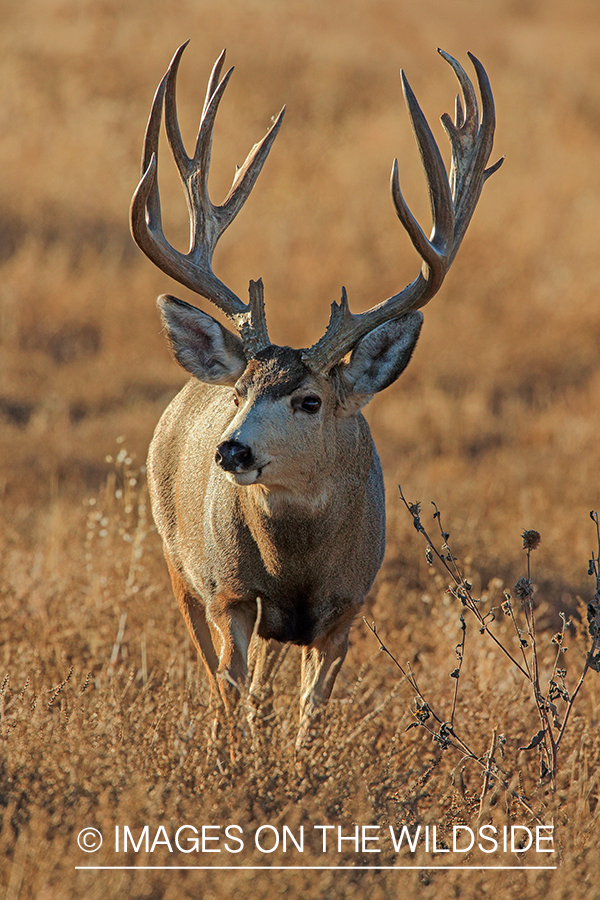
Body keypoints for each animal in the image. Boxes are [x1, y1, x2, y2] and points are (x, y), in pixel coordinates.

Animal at [130, 42, 502, 744]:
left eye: (310, 401)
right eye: (239, 392)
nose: (231, 451)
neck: (295, 568)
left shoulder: (345, 609)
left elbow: (310, 715)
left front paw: (300, 763)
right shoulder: (231, 595)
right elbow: (236, 695)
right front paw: (245, 762)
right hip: (176, 559)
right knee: (220, 678)